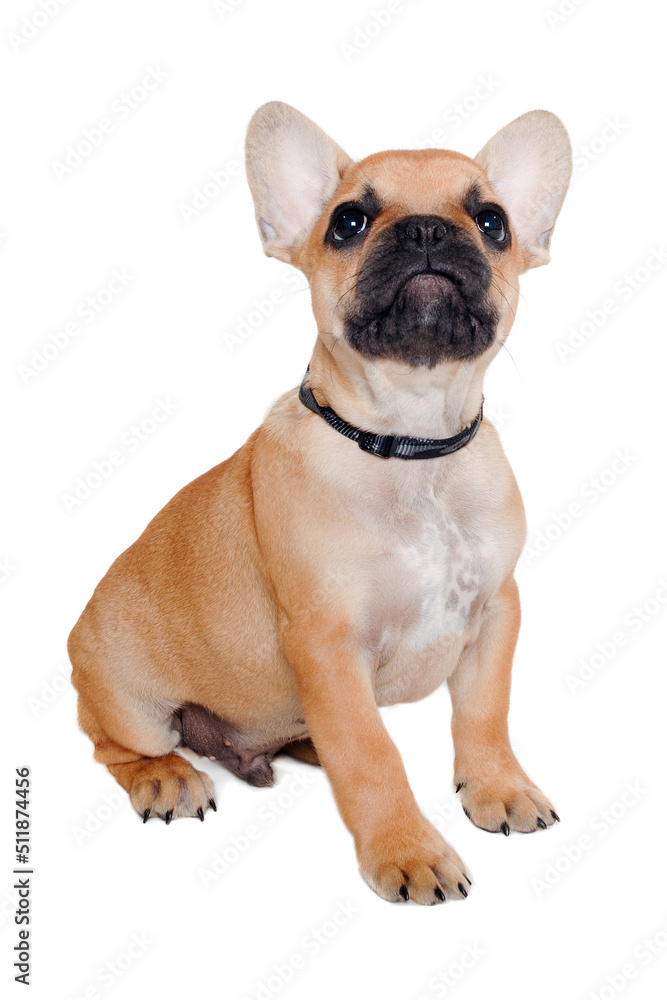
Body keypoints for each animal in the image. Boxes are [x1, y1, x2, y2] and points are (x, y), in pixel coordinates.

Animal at [72, 101, 576, 908]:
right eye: (348, 221)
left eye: (492, 221)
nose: (428, 229)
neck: (410, 444)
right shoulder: (328, 643)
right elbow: (371, 754)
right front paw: (407, 851)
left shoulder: (496, 612)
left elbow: (484, 715)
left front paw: (497, 786)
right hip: (128, 699)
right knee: (114, 746)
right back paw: (166, 777)